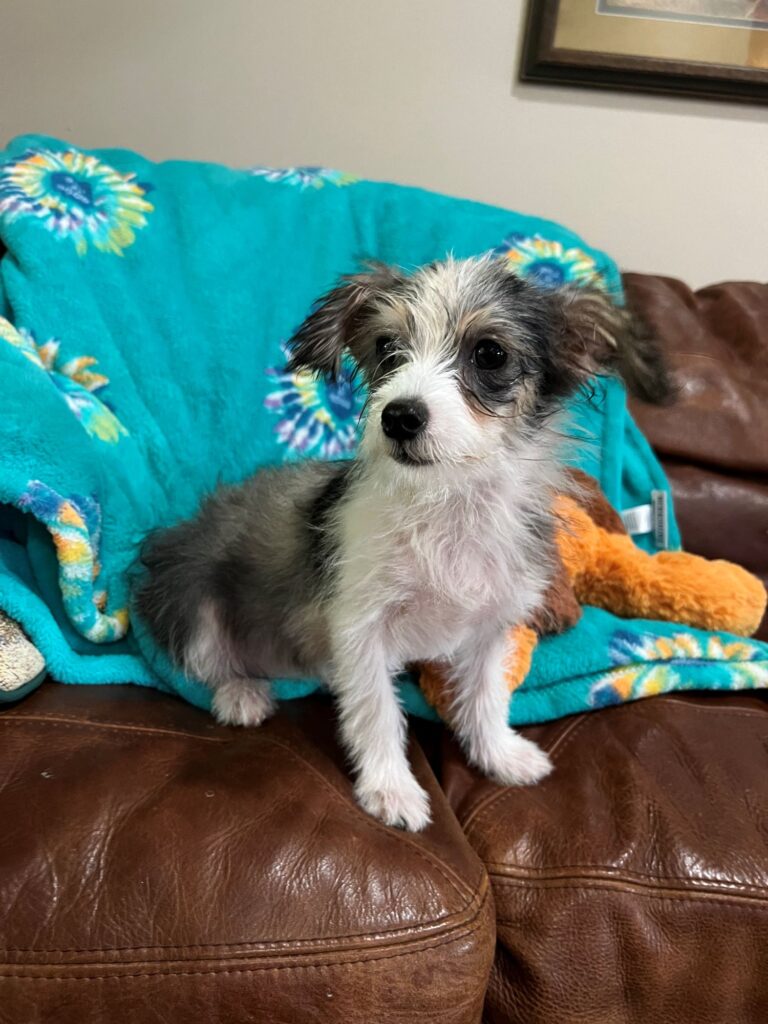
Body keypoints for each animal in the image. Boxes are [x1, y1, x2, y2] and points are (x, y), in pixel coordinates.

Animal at [135, 256, 671, 831]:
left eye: (491, 353)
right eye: (388, 346)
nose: (399, 416)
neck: (449, 504)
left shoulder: (490, 626)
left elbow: (486, 697)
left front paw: (499, 755)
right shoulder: (360, 628)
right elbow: (376, 712)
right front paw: (391, 790)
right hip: (192, 596)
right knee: (204, 663)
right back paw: (240, 694)